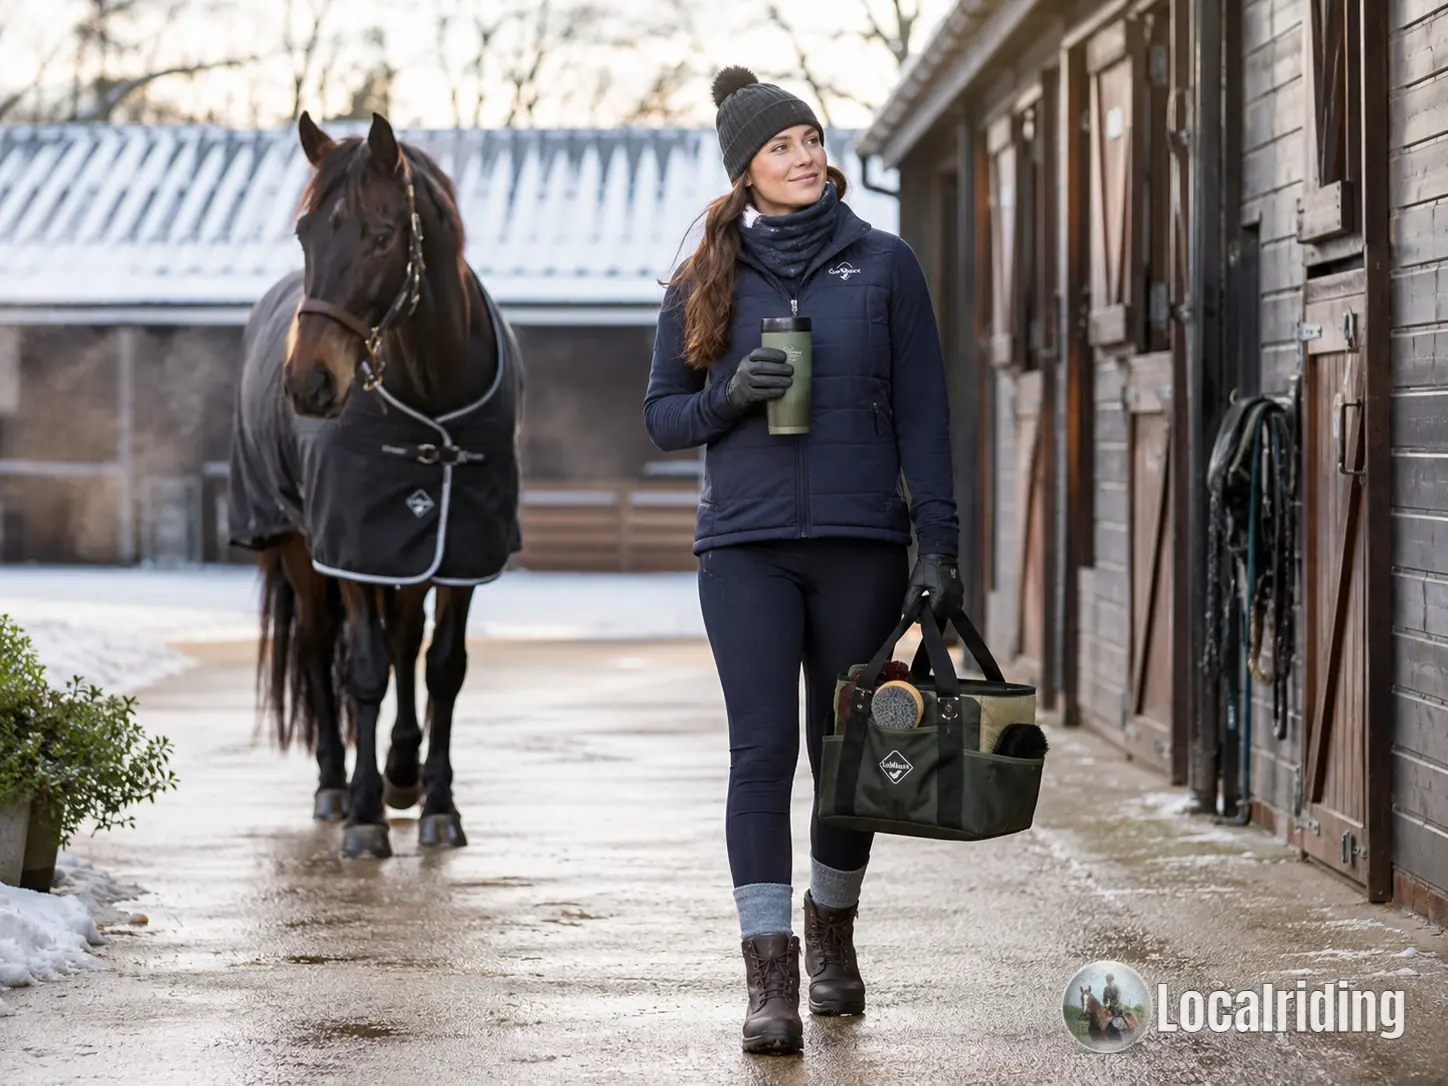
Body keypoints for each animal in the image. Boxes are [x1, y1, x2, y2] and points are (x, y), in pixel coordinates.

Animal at [227, 111, 523, 859]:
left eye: (384, 235)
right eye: (305, 231)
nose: (310, 383)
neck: (433, 390)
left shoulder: (460, 547)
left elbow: (442, 665)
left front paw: (437, 803)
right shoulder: (352, 546)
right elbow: (361, 669)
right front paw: (364, 817)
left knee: (404, 638)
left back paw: (401, 772)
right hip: (298, 547)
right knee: (316, 646)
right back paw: (336, 786)